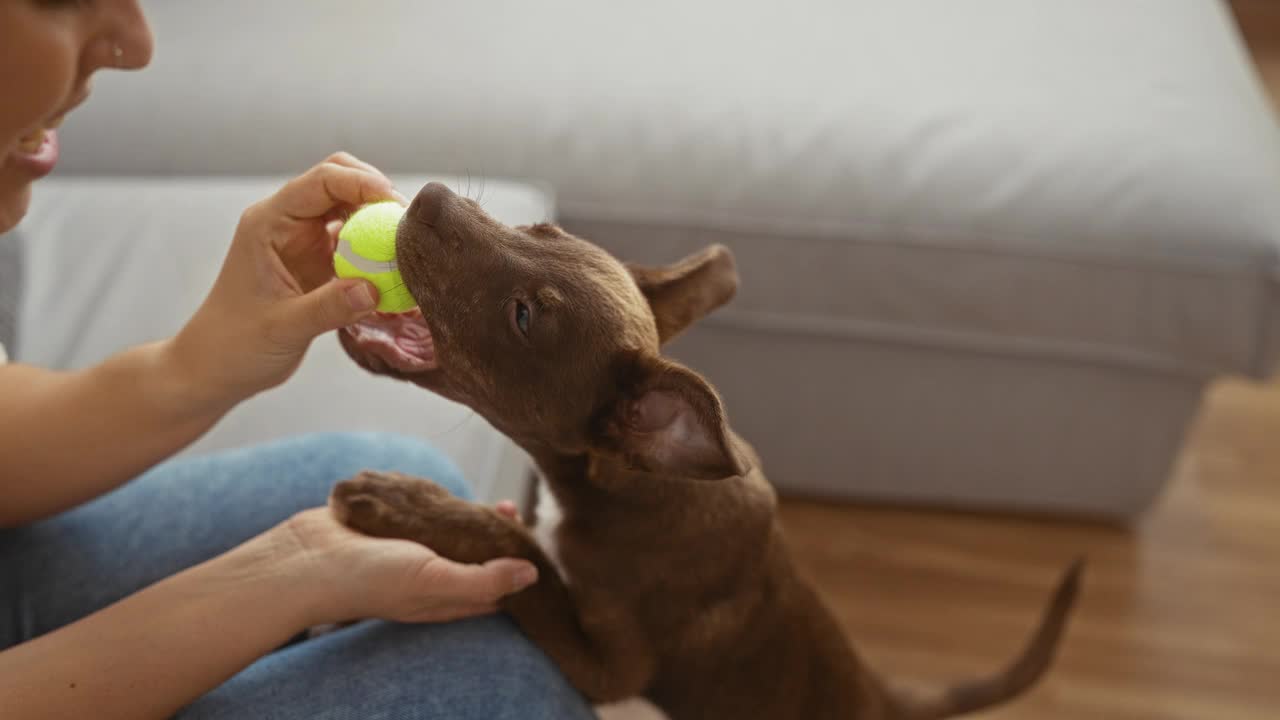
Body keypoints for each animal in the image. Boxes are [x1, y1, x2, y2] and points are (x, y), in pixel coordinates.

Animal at [330, 181, 1080, 712]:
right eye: (543, 230)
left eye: (523, 316)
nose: (426, 194)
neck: (625, 489)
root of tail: (879, 691)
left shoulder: (610, 667)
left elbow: (530, 561)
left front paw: (408, 504)